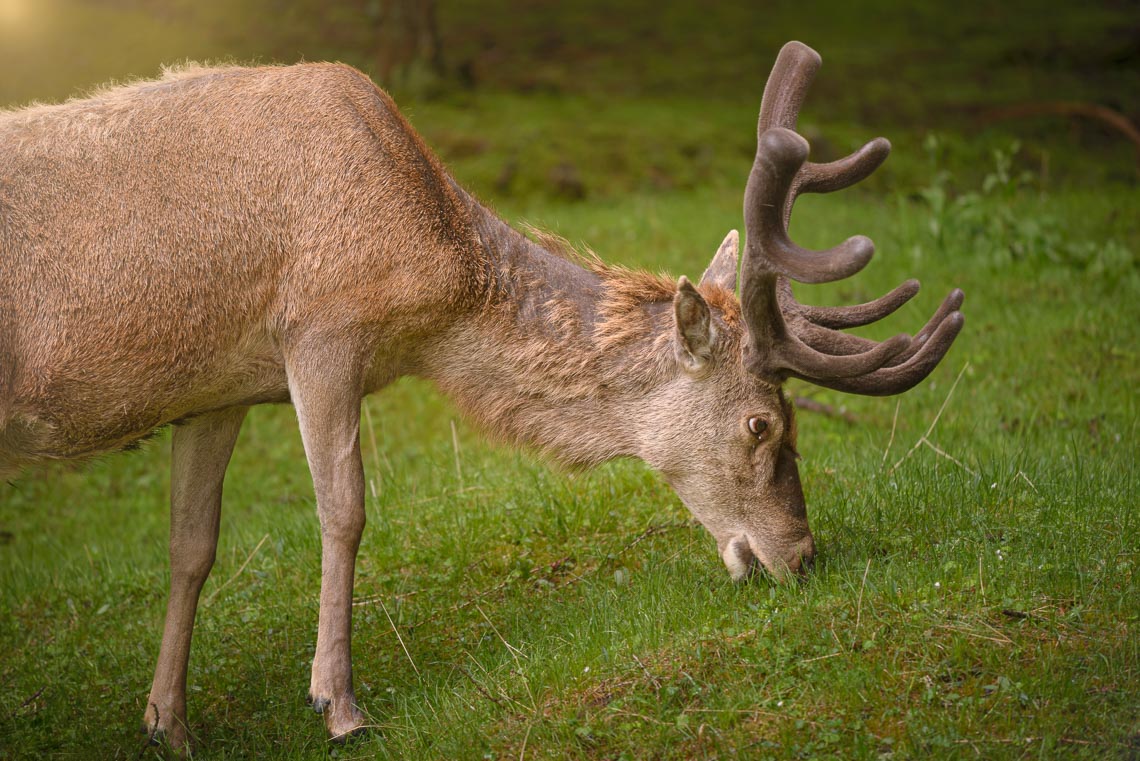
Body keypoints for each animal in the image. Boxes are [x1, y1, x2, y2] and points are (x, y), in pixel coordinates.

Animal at [0, 43, 962, 747]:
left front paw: (168, 722)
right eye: (763, 422)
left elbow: (190, 545)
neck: (431, 292)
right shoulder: (320, 327)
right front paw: (339, 704)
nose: (801, 554)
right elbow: (344, 508)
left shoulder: (219, 385)